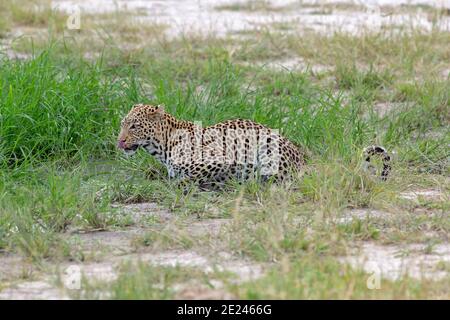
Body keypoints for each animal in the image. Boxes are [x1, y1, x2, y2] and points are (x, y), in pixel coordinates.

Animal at [118, 104, 392, 186]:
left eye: (134, 126)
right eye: (123, 124)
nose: (119, 141)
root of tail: (302, 160)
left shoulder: (221, 159)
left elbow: (187, 177)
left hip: (269, 148)